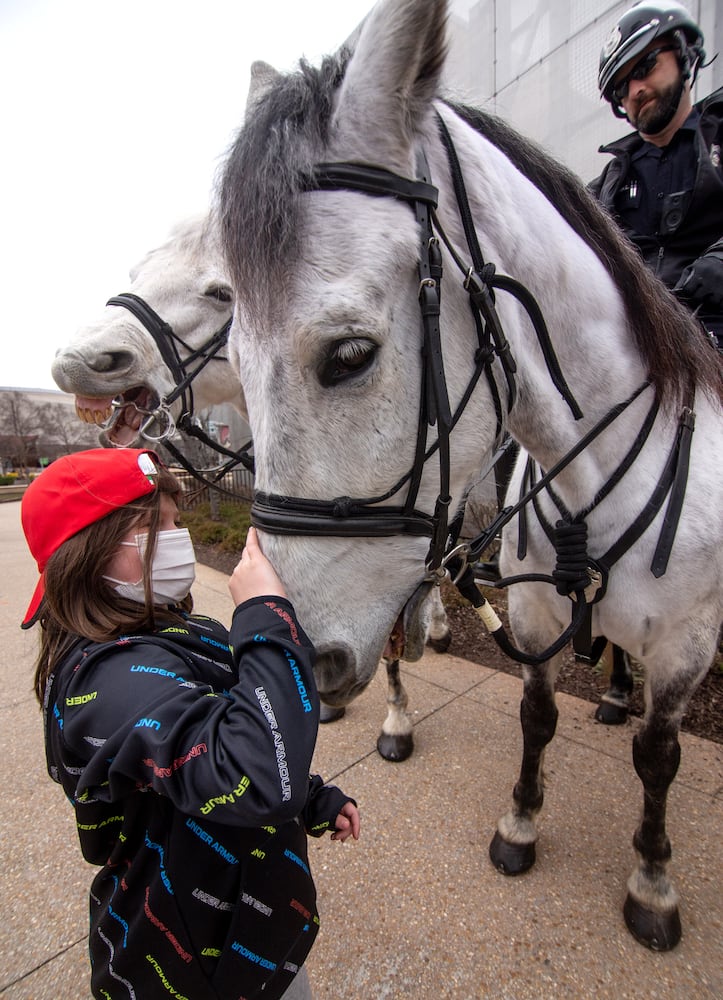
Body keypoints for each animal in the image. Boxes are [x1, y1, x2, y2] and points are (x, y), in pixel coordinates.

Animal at [219, 0, 723, 952]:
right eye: (232, 355)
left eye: (350, 355)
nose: (292, 656)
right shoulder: (530, 614)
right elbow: (536, 715)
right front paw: (520, 822)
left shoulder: (686, 646)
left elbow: (657, 755)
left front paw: (651, 881)